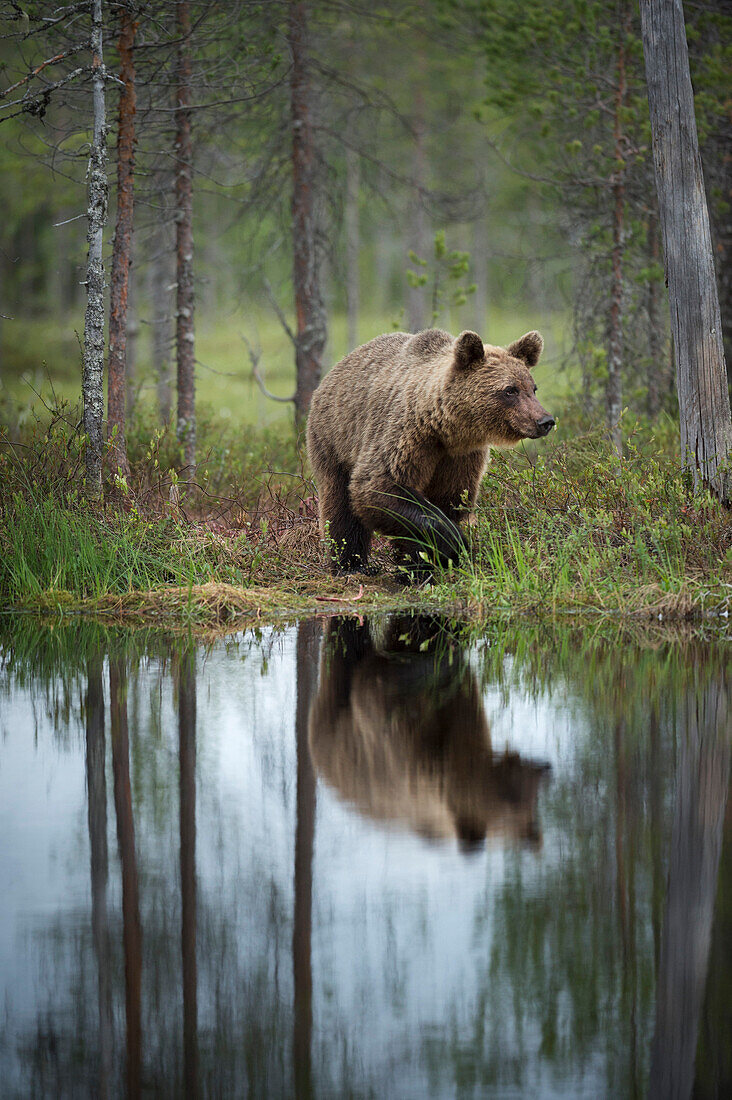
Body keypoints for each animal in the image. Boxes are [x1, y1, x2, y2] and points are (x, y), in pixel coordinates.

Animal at [306, 325, 554, 576]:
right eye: (510, 390)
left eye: (532, 388)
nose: (545, 421)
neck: (445, 429)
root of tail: (337, 369)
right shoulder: (405, 435)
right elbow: (380, 487)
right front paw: (454, 545)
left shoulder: (460, 456)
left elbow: (451, 498)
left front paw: (422, 562)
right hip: (334, 440)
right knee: (340, 506)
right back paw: (350, 564)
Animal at [306, 616, 550, 853]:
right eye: (511, 797)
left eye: (532, 805)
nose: (545, 772)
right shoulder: (397, 740)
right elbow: (378, 682)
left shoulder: (458, 715)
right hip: (335, 723)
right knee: (345, 645)